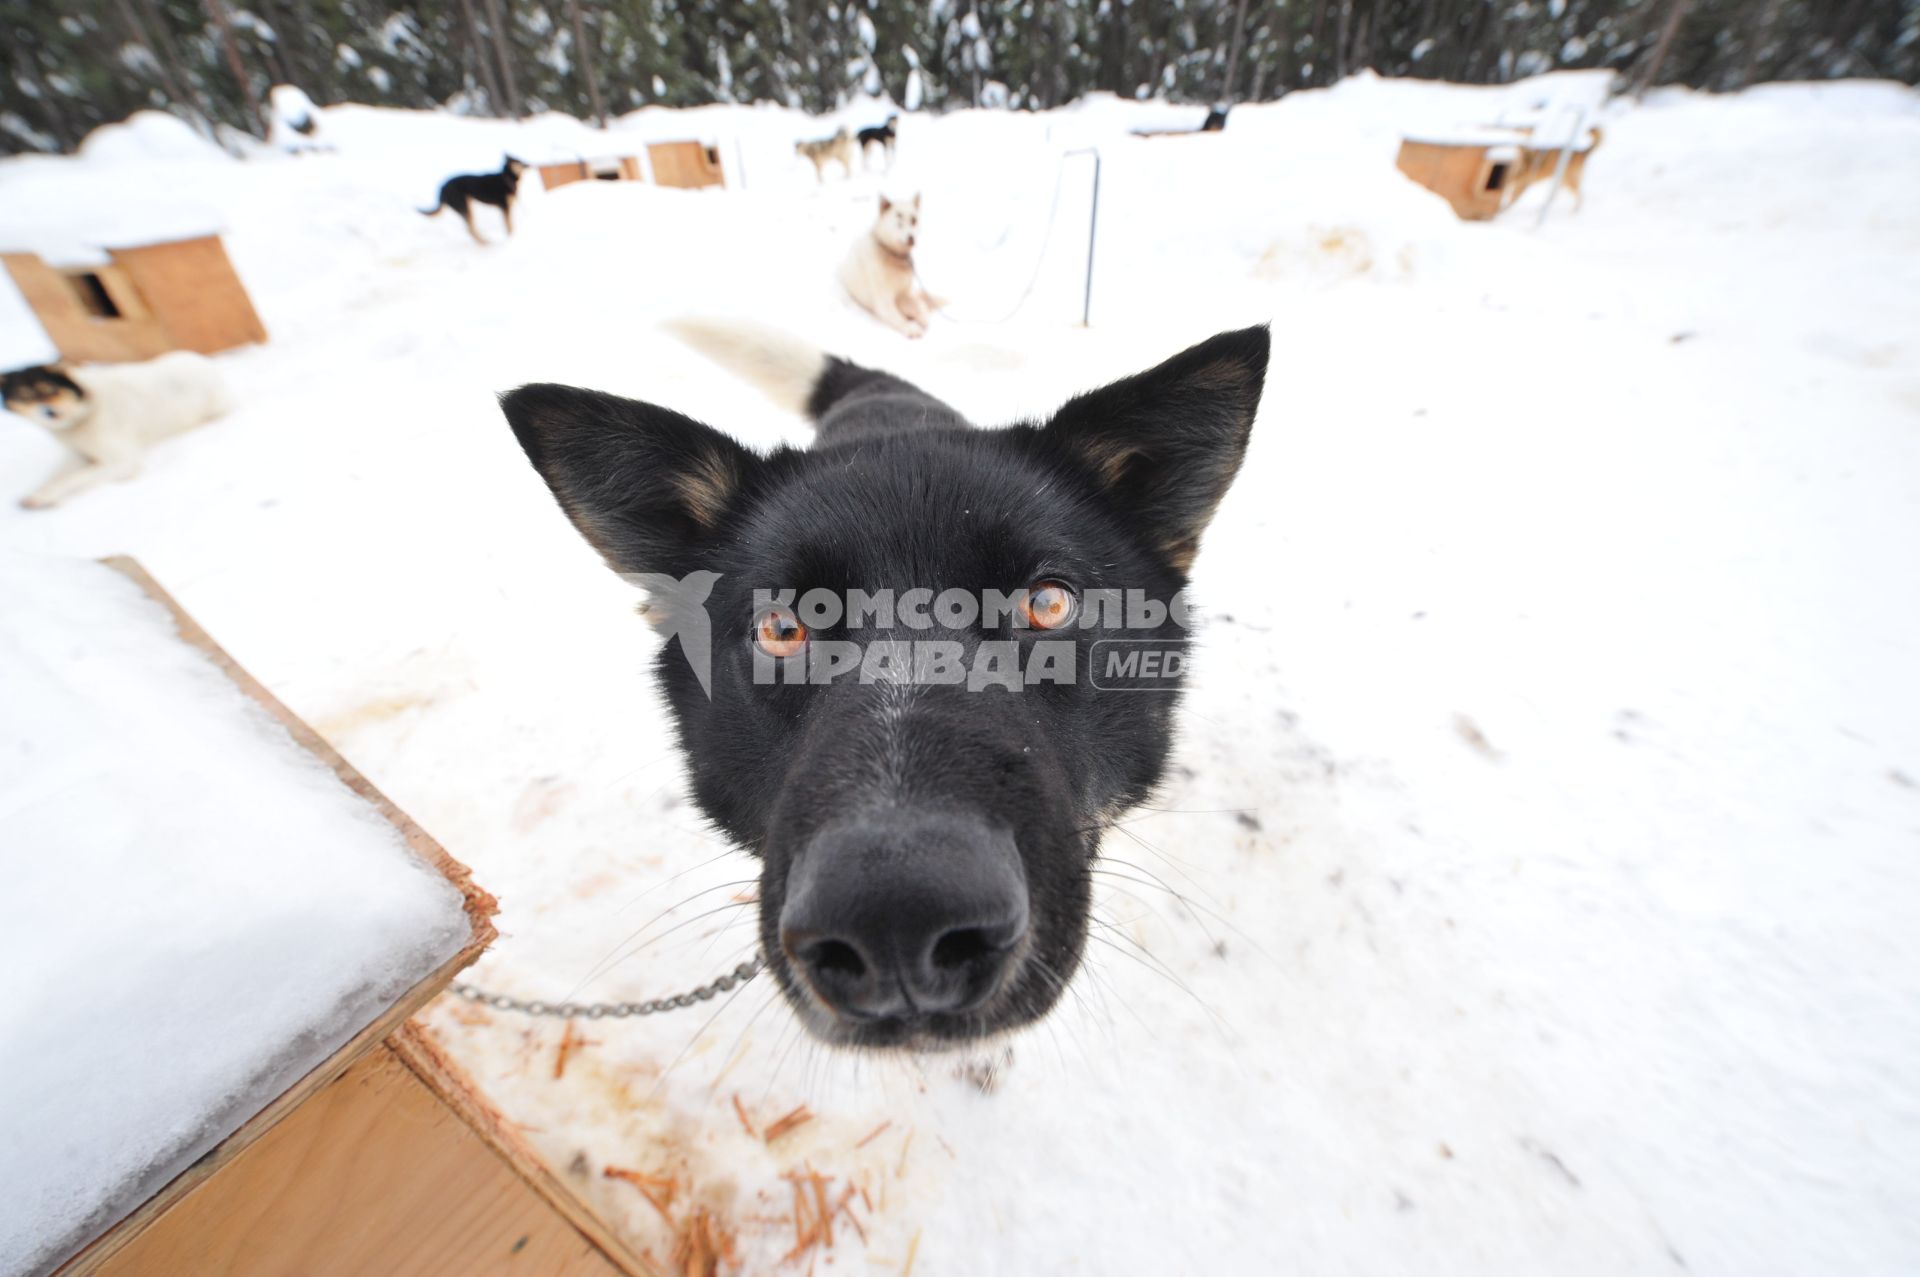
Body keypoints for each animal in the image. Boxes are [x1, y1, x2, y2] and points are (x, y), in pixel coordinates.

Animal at [3, 351, 234, 510]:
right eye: (24, 396)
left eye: (51, 389)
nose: (48, 412)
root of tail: (201, 360)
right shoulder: (75, 454)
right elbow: (56, 477)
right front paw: (39, 494)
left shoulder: (122, 462)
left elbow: (74, 478)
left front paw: (48, 495)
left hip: (213, 407)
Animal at [837, 193, 940, 337]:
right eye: (899, 221)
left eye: (913, 220)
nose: (911, 238)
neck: (893, 256)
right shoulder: (884, 303)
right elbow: (900, 319)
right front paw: (911, 328)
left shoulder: (904, 295)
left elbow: (919, 305)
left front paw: (923, 318)